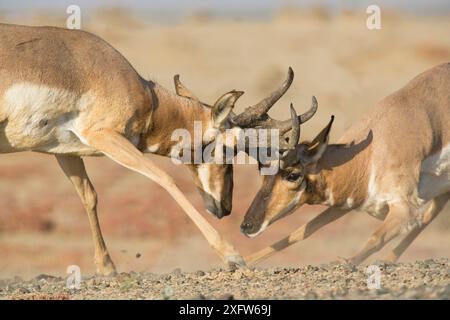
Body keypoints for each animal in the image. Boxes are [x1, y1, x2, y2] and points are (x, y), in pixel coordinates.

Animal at [0, 23, 312, 276]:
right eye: (230, 149)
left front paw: (107, 268)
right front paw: (233, 256)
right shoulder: (104, 136)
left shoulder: (64, 151)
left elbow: (89, 195)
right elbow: (165, 178)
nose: (225, 207)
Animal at [241, 62, 450, 264]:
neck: (370, 152)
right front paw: (241, 261)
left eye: (293, 174)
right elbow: (302, 231)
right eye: (262, 170)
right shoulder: (343, 205)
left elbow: (376, 237)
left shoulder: (405, 209)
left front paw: (347, 262)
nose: (247, 226)